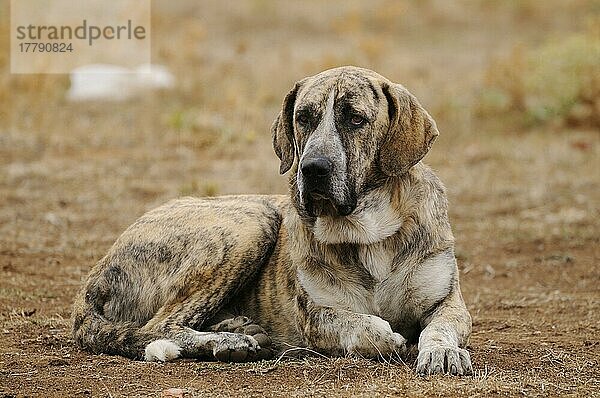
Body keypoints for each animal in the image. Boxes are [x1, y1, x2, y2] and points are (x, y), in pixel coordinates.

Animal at [71, 67, 474, 374]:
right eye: (304, 118)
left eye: (355, 119)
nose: (313, 169)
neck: (367, 234)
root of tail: (94, 277)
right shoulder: (316, 316)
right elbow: (364, 328)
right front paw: (389, 336)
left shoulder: (449, 304)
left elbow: (439, 328)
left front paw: (441, 351)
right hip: (252, 222)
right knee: (160, 326)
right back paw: (227, 340)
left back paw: (237, 328)